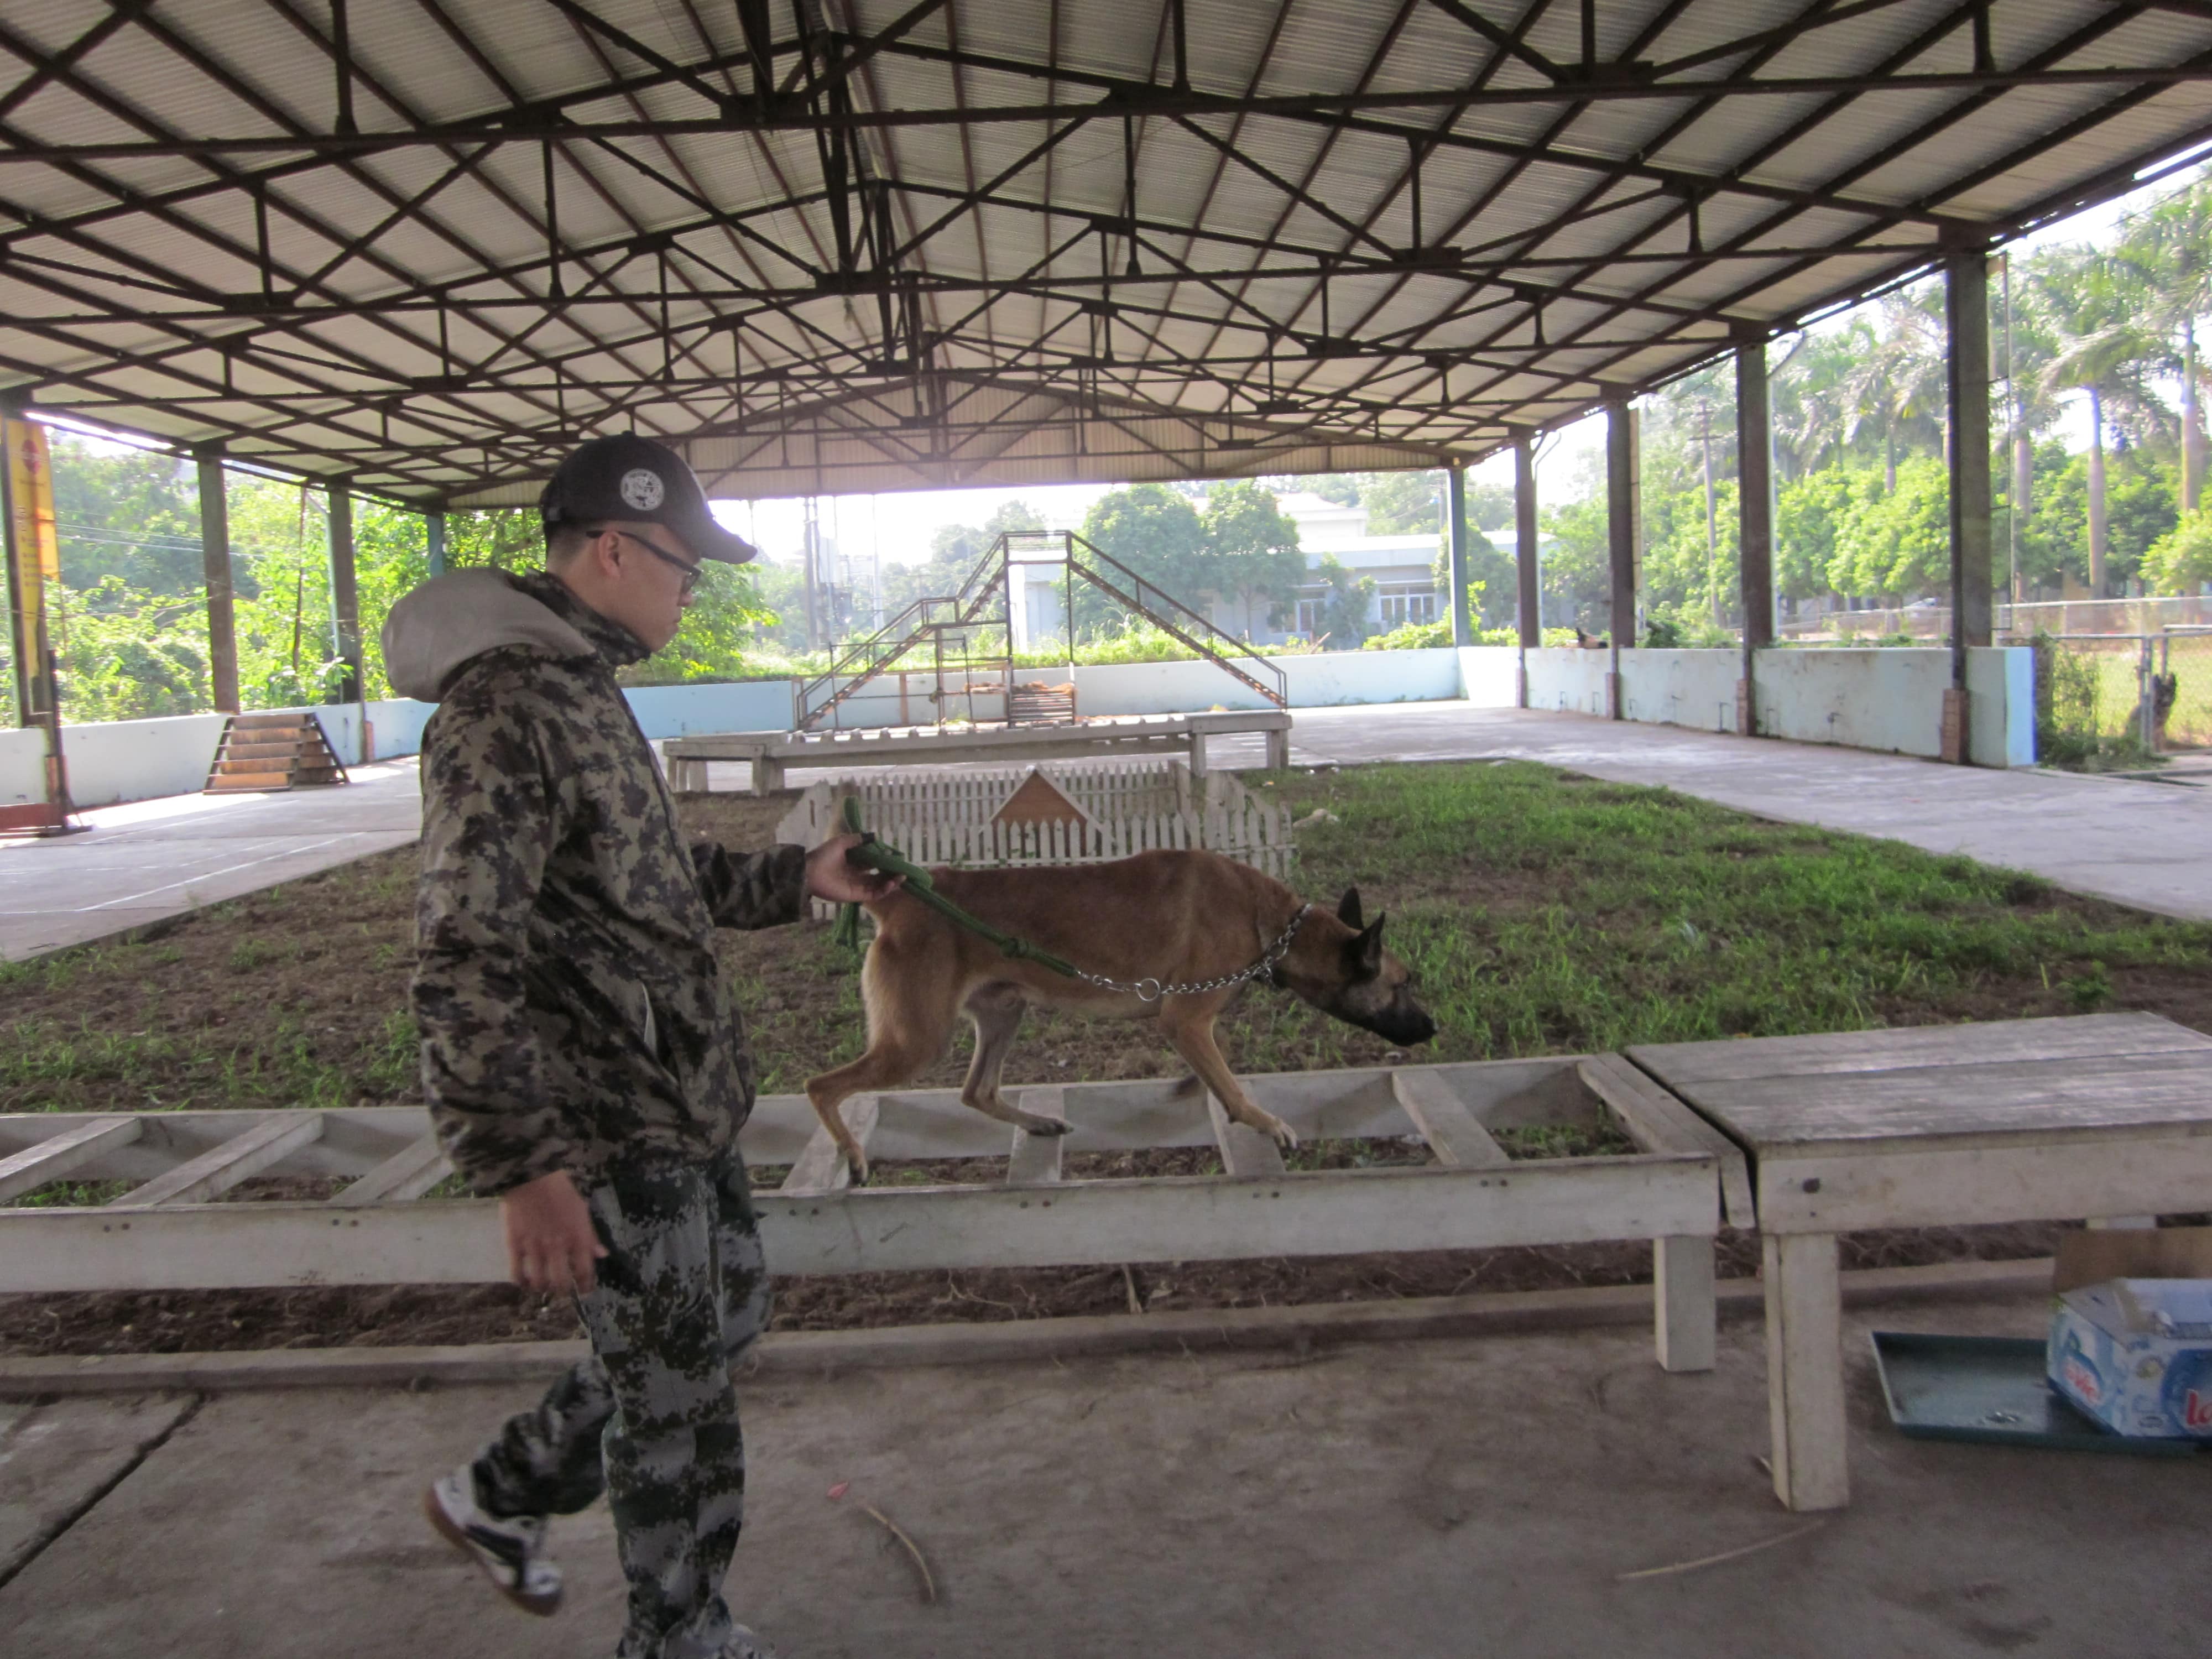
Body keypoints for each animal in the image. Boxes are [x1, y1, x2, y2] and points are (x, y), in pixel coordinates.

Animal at [796, 849, 1433, 1186]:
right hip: (916, 1042)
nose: (1432, 1029)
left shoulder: (1194, 1026)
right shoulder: (1184, 1022)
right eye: (1402, 985)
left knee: (976, 1092)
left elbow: (1218, 1073)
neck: (1273, 924)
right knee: (820, 1086)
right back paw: (852, 1153)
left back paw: (1036, 1123)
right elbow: (1231, 1088)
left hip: (1003, 1014)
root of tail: (904, 897)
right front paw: (1262, 1121)